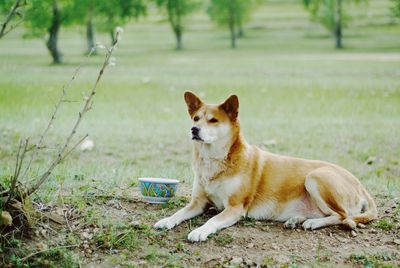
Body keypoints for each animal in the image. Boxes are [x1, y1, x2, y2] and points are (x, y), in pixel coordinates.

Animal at [154, 91, 378, 242]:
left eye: (213, 120)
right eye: (196, 118)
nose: (194, 129)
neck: (215, 159)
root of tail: (360, 184)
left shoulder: (235, 207)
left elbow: (213, 220)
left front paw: (200, 231)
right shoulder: (198, 202)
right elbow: (179, 213)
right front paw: (166, 220)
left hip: (315, 177)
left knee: (342, 215)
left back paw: (313, 223)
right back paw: (296, 220)